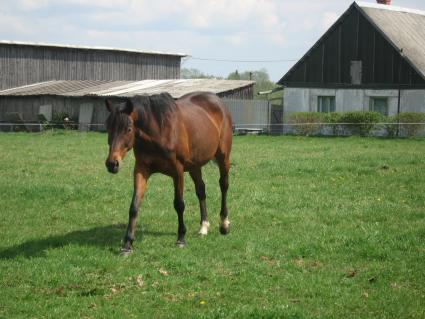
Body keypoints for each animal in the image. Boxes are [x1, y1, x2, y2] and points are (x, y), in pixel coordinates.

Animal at [105, 92, 232, 255]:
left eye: (128, 129)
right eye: (108, 127)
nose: (112, 164)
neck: (159, 130)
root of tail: (217, 101)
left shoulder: (177, 171)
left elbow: (179, 204)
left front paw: (181, 238)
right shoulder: (141, 169)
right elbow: (134, 206)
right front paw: (127, 244)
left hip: (223, 157)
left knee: (223, 185)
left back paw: (224, 224)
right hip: (194, 166)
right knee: (201, 190)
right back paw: (204, 227)